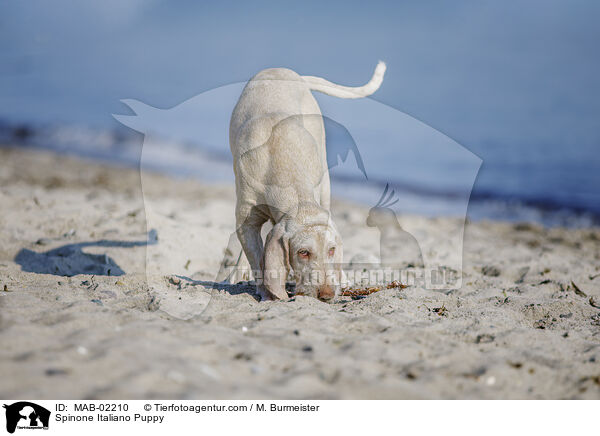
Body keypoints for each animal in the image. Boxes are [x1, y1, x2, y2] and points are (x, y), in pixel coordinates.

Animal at [227, 60, 386, 300]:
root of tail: (290, 73)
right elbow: (256, 258)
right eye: (303, 252)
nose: (327, 294)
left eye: (331, 250)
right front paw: (266, 293)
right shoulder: (245, 219)